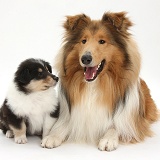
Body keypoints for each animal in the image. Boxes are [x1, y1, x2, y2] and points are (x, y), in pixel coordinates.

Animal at [41, 11, 159, 151]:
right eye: (83, 41)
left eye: (102, 41)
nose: (85, 58)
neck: (94, 85)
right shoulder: (72, 114)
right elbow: (62, 126)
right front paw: (52, 136)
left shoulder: (131, 122)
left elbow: (116, 126)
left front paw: (108, 139)